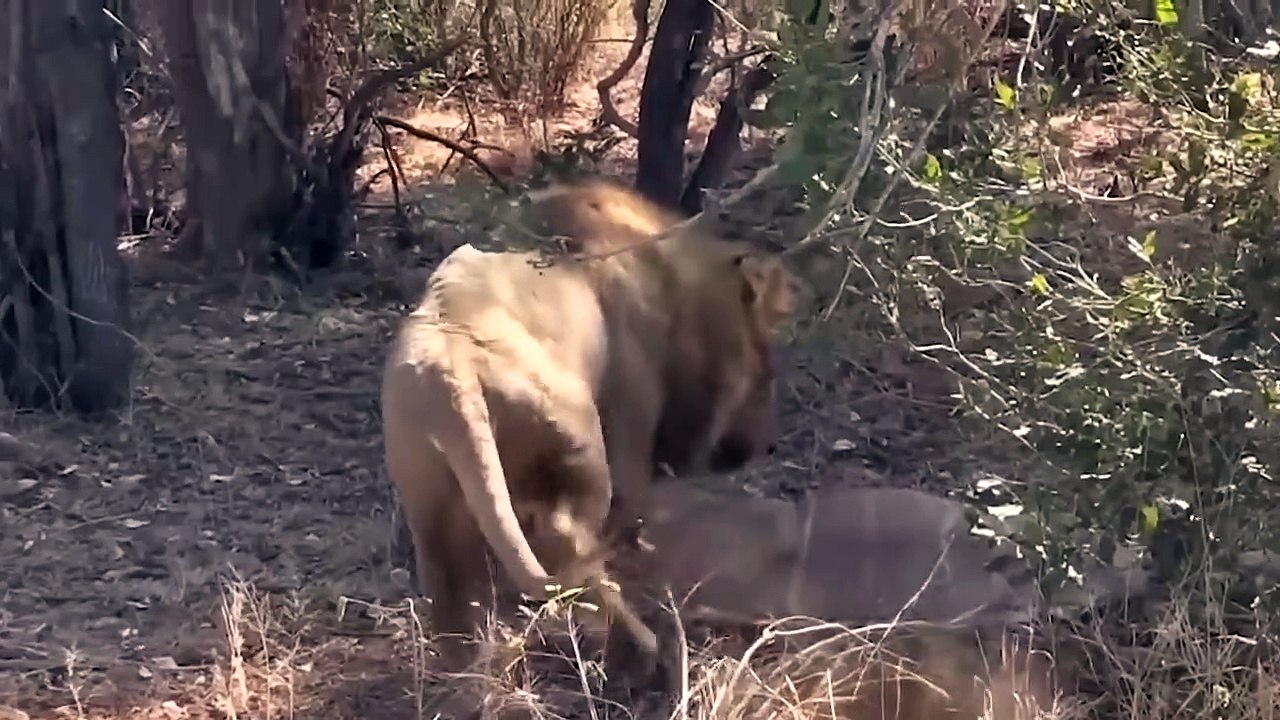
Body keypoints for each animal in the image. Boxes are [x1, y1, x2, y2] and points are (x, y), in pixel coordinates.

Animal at [378, 179, 793, 671]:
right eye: (766, 375)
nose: (762, 446)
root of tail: (452, 373)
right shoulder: (630, 425)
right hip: (581, 442)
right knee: (567, 544)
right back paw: (644, 645)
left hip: (428, 497)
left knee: (452, 591)